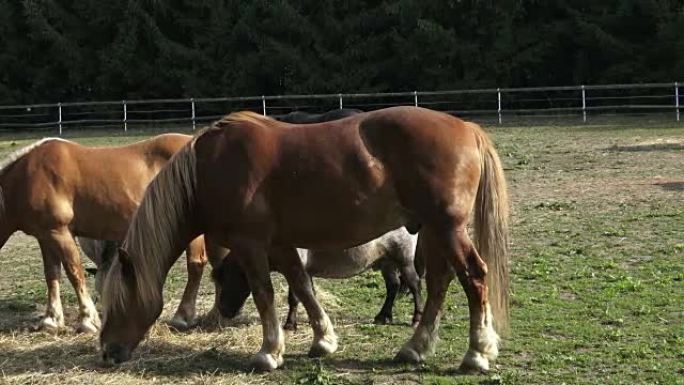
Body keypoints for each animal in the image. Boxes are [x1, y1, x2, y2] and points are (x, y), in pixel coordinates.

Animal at [0, 134, 208, 332]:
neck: (27, 177)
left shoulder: (60, 232)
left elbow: (74, 272)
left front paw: (88, 321)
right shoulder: (45, 236)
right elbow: (51, 275)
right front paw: (51, 321)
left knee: (195, 265)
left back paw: (181, 317)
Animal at [214, 226, 424, 328]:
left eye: (231, 278)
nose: (223, 310)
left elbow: (294, 298)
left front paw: (290, 324)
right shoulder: (306, 271)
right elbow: (309, 295)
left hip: (403, 260)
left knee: (414, 285)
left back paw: (416, 319)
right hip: (386, 262)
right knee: (393, 287)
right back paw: (383, 316)